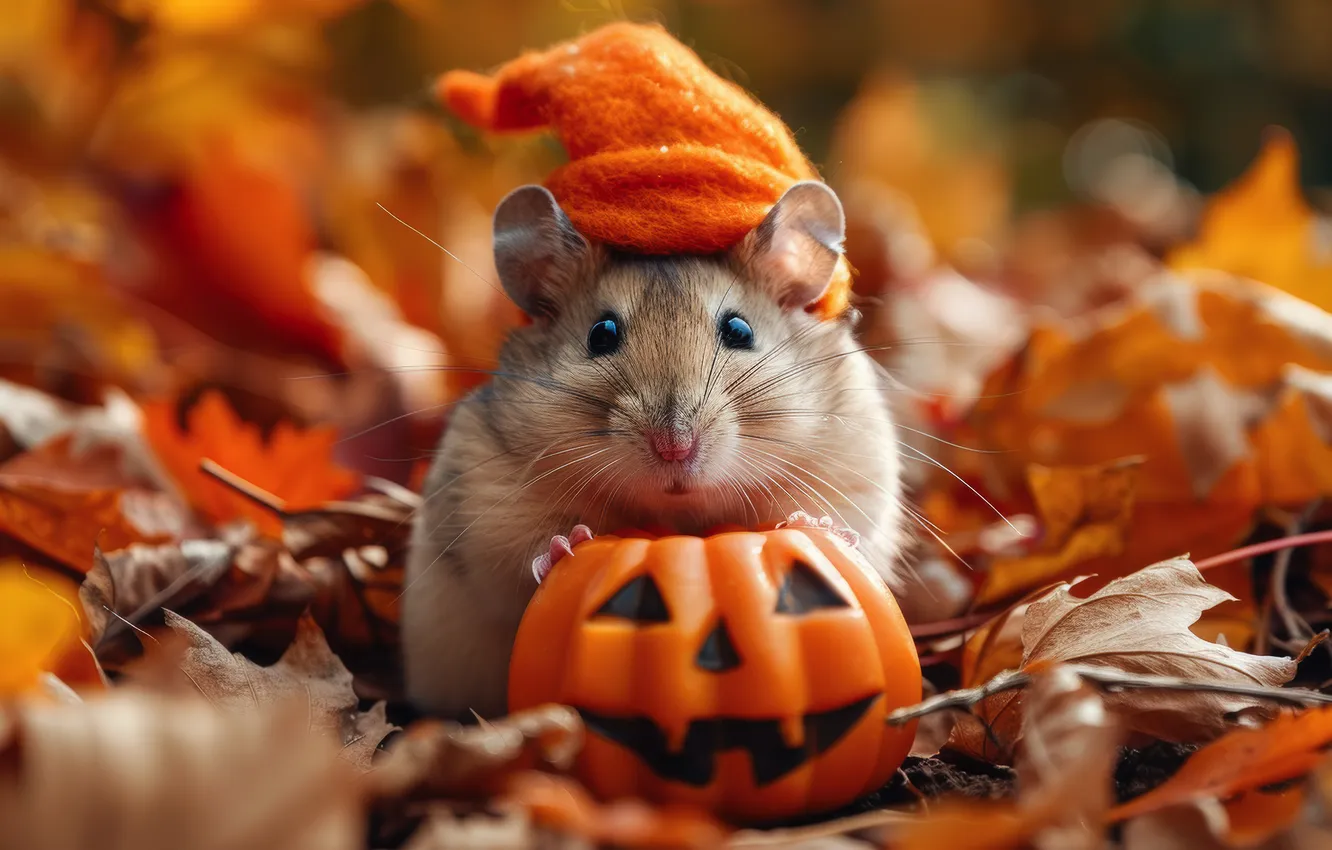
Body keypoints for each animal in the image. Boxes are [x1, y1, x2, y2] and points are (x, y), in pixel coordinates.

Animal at [402, 180, 907, 720]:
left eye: (740, 331)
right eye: (601, 334)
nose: (674, 448)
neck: (678, 515)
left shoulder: (856, 468)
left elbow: (841, 518)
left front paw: (815, 525)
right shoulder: (486, 508)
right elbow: (520, 558)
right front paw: (568, 543)